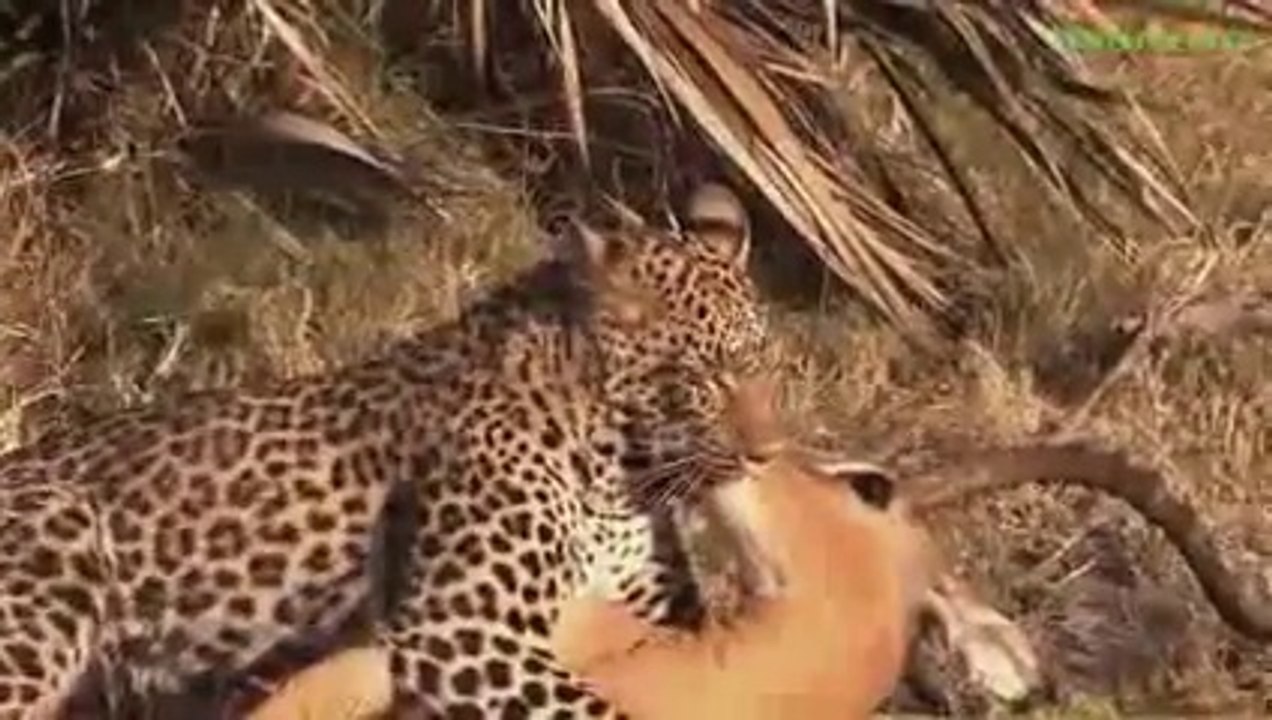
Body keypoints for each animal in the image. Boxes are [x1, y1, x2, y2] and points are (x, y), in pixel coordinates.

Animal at [0, 181, 768, 719]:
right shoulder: (458, 628)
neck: (616, 467)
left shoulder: (654, 605)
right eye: (707, 375)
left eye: (760, 363)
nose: (768, 452)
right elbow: (596, 711)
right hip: (54, 566)